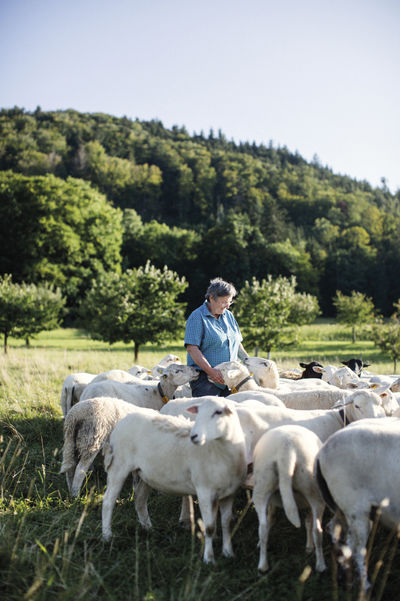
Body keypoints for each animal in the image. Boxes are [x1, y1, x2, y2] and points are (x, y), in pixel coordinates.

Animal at [101, 397, 248, 563]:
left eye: (218, 412)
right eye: (198, 412)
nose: (194, 436)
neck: (219, 451)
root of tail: (122, 421)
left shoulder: (229, 493)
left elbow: (226, 523)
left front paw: (228, 553)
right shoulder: (204, 491)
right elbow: (209, 527)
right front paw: (209, 558)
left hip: (145, 473)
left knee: (139, 499)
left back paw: (148, 527)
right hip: (119, 465)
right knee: (108, 500)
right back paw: (107, 535)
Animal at [252, 424, 326, 573]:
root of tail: (286, 451)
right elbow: (308, 522)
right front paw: (309, 547)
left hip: (262, 485)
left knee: (262, 527)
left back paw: (263, 565)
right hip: (314, 490)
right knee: (318, 530)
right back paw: (321, 565)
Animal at [314, 416, 400, 592]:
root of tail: (322, 452)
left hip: (344, 506)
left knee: (337, 531)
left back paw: (344, 575)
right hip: (355, 508)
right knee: (358, 548)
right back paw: (364, 585)